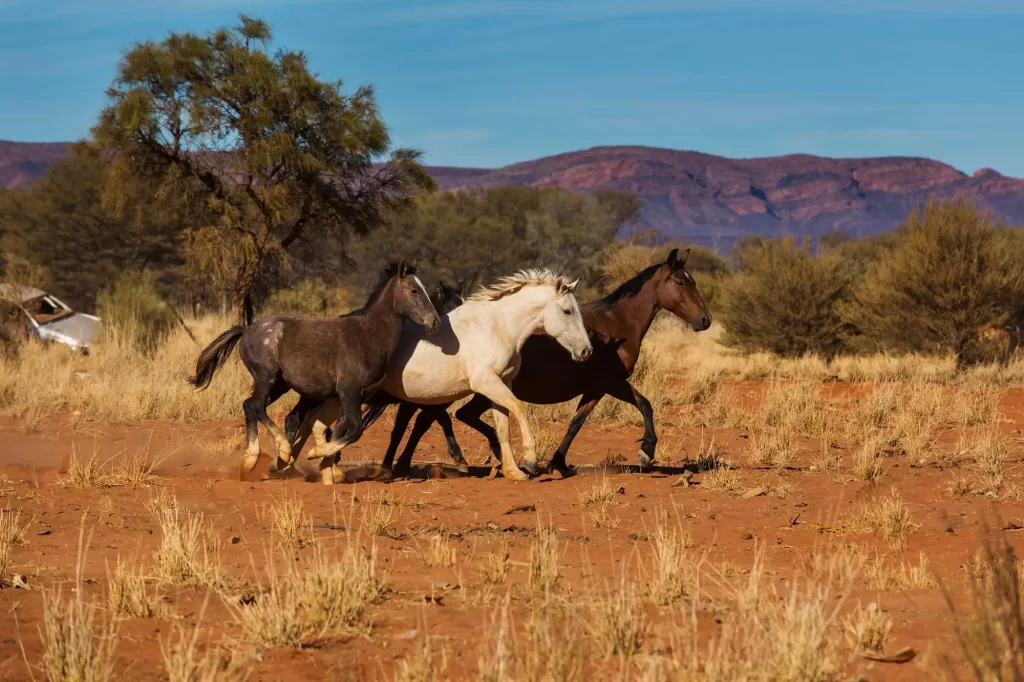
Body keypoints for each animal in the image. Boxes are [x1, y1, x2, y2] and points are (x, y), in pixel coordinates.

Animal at [187, 261, 440, 480]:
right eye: (414, 290)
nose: (434, 322)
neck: (368, 334)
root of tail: (247, 329)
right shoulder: (349, 391)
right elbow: (354, 430)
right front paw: (316, 455)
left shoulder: (355, 395)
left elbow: (339, 429)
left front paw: (328, 468)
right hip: (267, 378)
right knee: (255, 406)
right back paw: (278, 452)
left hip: (278, 386)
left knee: (251, 407)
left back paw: (261, 460)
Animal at [292, 269, 593, 482]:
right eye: (567, 310)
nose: (586, 351)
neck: (498, 327)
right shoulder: (486, 383)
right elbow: (519, 409)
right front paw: (529, 461)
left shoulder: (500, 384)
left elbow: (503, 426)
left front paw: (512, 471)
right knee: (312, 422)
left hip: (343, 396)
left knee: (314, 422)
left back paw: (313, 464)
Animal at [365, 248, 711, 477]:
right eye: (681, 283)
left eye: (692, 281)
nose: (705, 320)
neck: (618, 324)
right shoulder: (611, 382)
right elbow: (645, 405)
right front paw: (646, 452)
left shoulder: (595, 389)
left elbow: (576, 423)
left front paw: (557, 463)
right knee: (428, 418)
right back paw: (418, 463)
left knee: (442, 417)